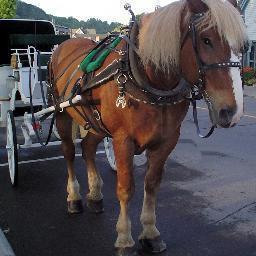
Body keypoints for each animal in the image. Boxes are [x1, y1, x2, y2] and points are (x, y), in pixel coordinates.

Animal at [49, 1, 247, 255]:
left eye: (243, 45)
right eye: (206, 40)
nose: (232, 112)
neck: (145, 77)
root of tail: (63, 45)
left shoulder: (167, 141)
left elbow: (151, 185)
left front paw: (151, 234)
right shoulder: (122, 140)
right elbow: (125, 188)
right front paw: (124, 238)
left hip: (95, 123)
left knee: (88, 148)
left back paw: (94, 195)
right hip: (62, 114)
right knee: (69, 153)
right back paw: (73, 197)